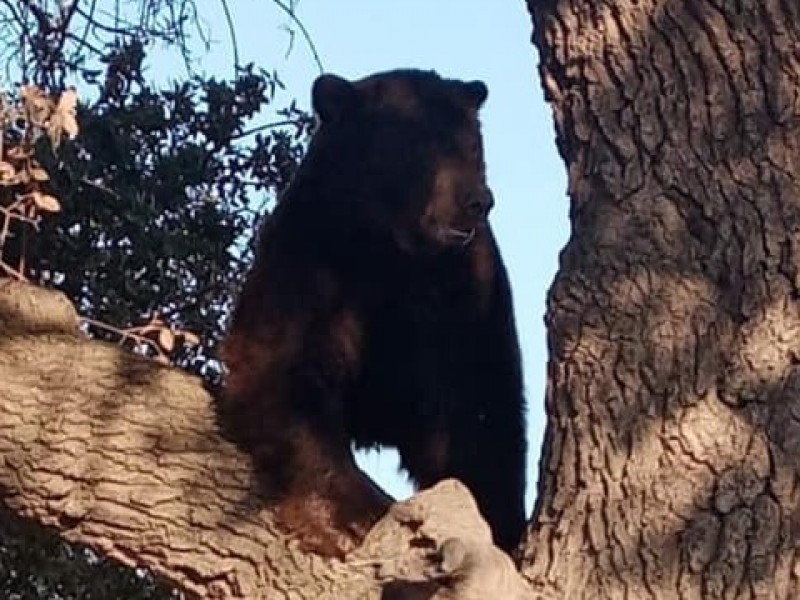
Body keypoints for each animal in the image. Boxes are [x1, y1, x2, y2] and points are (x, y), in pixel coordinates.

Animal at [222, 69, 528, 556]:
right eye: (422, 144)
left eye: (472, 145)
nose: (477, 200)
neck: (392, 247)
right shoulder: (314, 259)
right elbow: (284, 365)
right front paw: (348, 514)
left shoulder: (465, 291)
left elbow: (479, 403)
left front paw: (498, 521)